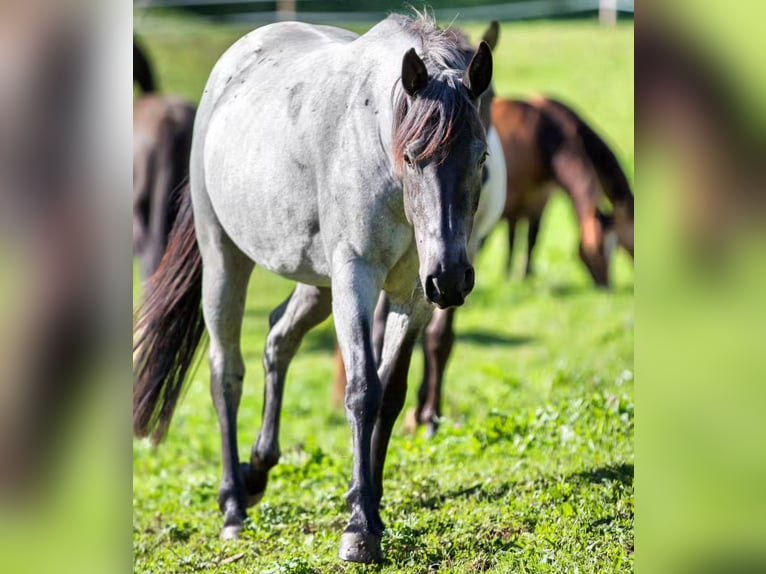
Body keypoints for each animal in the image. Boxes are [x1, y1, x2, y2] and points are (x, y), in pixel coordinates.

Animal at [492, 96, 634, 287]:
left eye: (615, 245)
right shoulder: (516, 199)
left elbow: (532, 239)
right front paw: (509, 277)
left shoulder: (541, 196)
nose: (606, 286)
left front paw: (527, 276)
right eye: (594, 249)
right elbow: (513, 240)